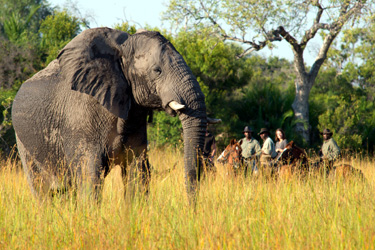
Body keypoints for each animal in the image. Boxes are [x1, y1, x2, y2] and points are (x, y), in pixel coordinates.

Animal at [11, 26, 210, 199]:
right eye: (157, 70)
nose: (192, 209)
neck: (121, 49)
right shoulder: (81, 119)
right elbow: (90, 177)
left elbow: (137, 173)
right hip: (24, 144)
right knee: (43, 191)